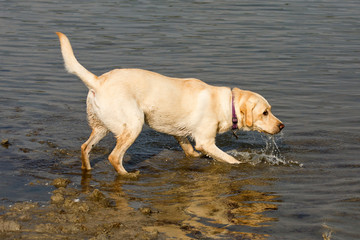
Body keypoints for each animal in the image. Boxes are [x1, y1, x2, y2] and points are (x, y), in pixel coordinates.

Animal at [56, 32, 284, 174]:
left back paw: (87, 168)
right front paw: (239, 165)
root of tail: (97, 81)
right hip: (133, 124)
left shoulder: (180, 132)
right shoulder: (205, 140)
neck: (228, 105)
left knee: (85, 147)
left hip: (101, 127)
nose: (282, 126)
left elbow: (190, 150)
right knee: (114, 157)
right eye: (265, 112)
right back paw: (127, 175)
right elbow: (229, 159)